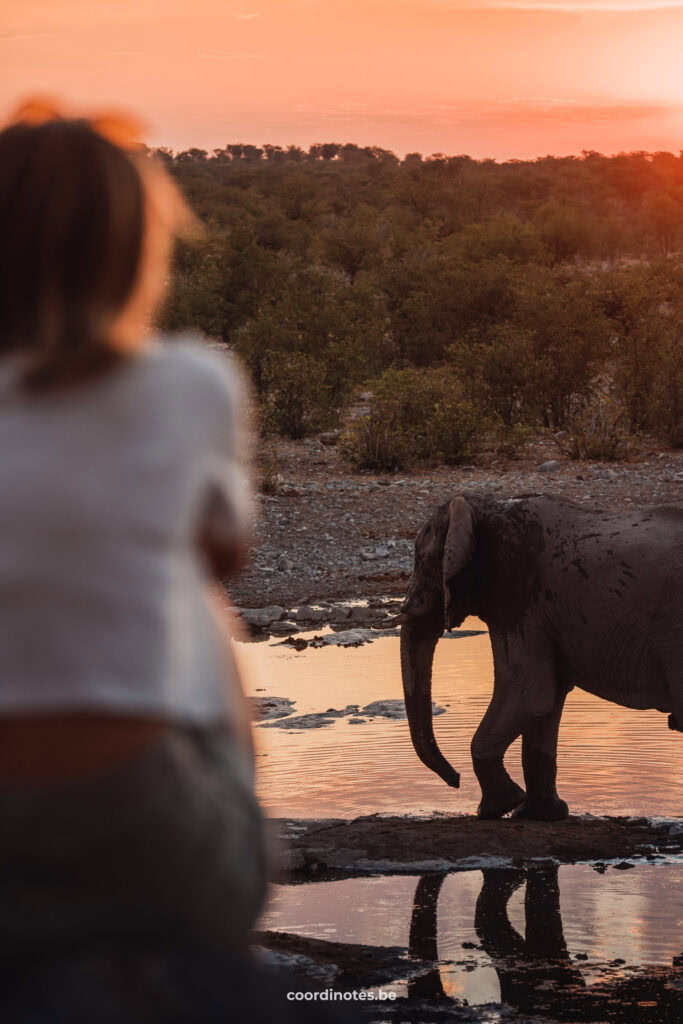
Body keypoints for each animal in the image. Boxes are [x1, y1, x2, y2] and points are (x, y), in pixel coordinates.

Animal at [397, 495, 679, 823]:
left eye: (423, 561)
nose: (455, 781)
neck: (484, 507)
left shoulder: (517, 595)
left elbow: (529, 693)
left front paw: (496, 808)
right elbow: (547, 701)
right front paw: (538, 813)